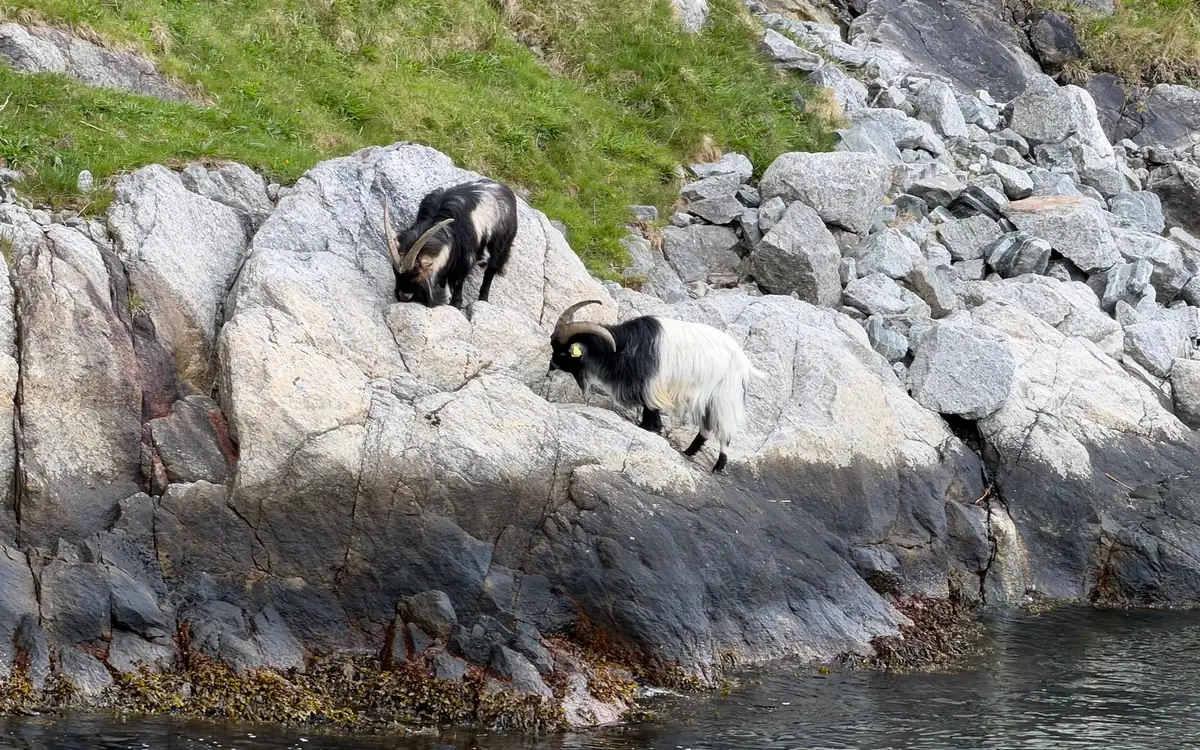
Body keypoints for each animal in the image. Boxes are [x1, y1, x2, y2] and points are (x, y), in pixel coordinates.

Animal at [383, 179, 518, 308]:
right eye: (394, 271)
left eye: (416, 275)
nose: (403, 296)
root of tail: (507, 191)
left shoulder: (465, 258)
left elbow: (458, 282)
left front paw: (456, 304)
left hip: (501, 243)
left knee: (491, 270)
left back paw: (484, 298)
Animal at [548, 300, 766, 472]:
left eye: (563, 352)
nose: (550, 368)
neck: (625, 345)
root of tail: (745, 364)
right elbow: (650, 407)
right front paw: (653, 428)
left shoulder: (650, 382)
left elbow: (650, 406)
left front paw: (649, 427)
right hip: (709, 398)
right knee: (706, 426)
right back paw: (689, 452)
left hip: (724, 395)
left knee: (724, 429)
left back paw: (718, 466)